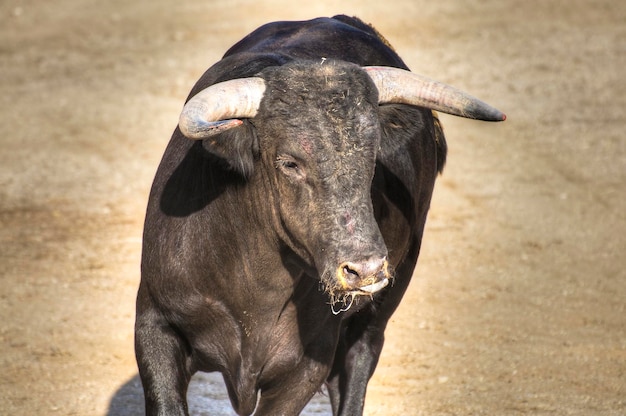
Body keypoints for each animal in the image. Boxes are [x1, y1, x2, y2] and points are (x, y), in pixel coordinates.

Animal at [135, 13, 502, 416]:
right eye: (290, 162)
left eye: (373, 154)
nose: (366, 269)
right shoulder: (154, 327)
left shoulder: (308, 365)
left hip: (378, 314)